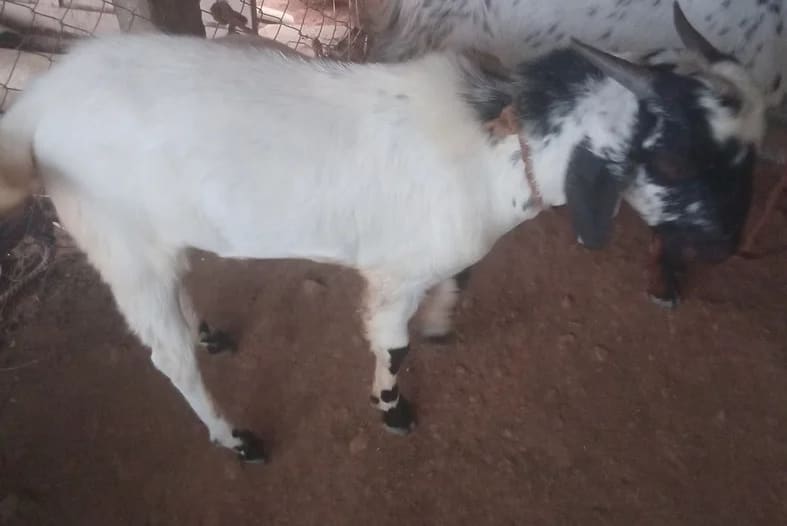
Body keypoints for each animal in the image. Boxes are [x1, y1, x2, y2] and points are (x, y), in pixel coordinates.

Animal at [0, 2, 765, 462]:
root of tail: (36, 103)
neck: (488, 146)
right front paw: (393, 411)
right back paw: (235, 437)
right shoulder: (393, 277)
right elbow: (392, 346)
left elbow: (460, 282)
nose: (727, 246)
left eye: (751, 152)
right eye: (672, 157)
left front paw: (443, 325)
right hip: (118, 244)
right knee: (167, 357)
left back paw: (209, 332)